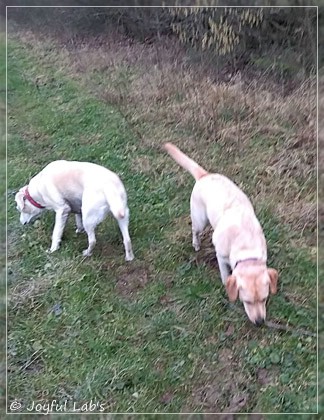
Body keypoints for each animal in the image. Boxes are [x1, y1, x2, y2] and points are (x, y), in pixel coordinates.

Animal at [165, 142, 278, 324]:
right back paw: (196, 244)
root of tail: (204, 175)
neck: (245, 246)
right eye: (247, 301)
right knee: (194, 230)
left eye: (264, 298)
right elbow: (226, 277)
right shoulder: (221, 257)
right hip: (200, 221)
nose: (260, 322)